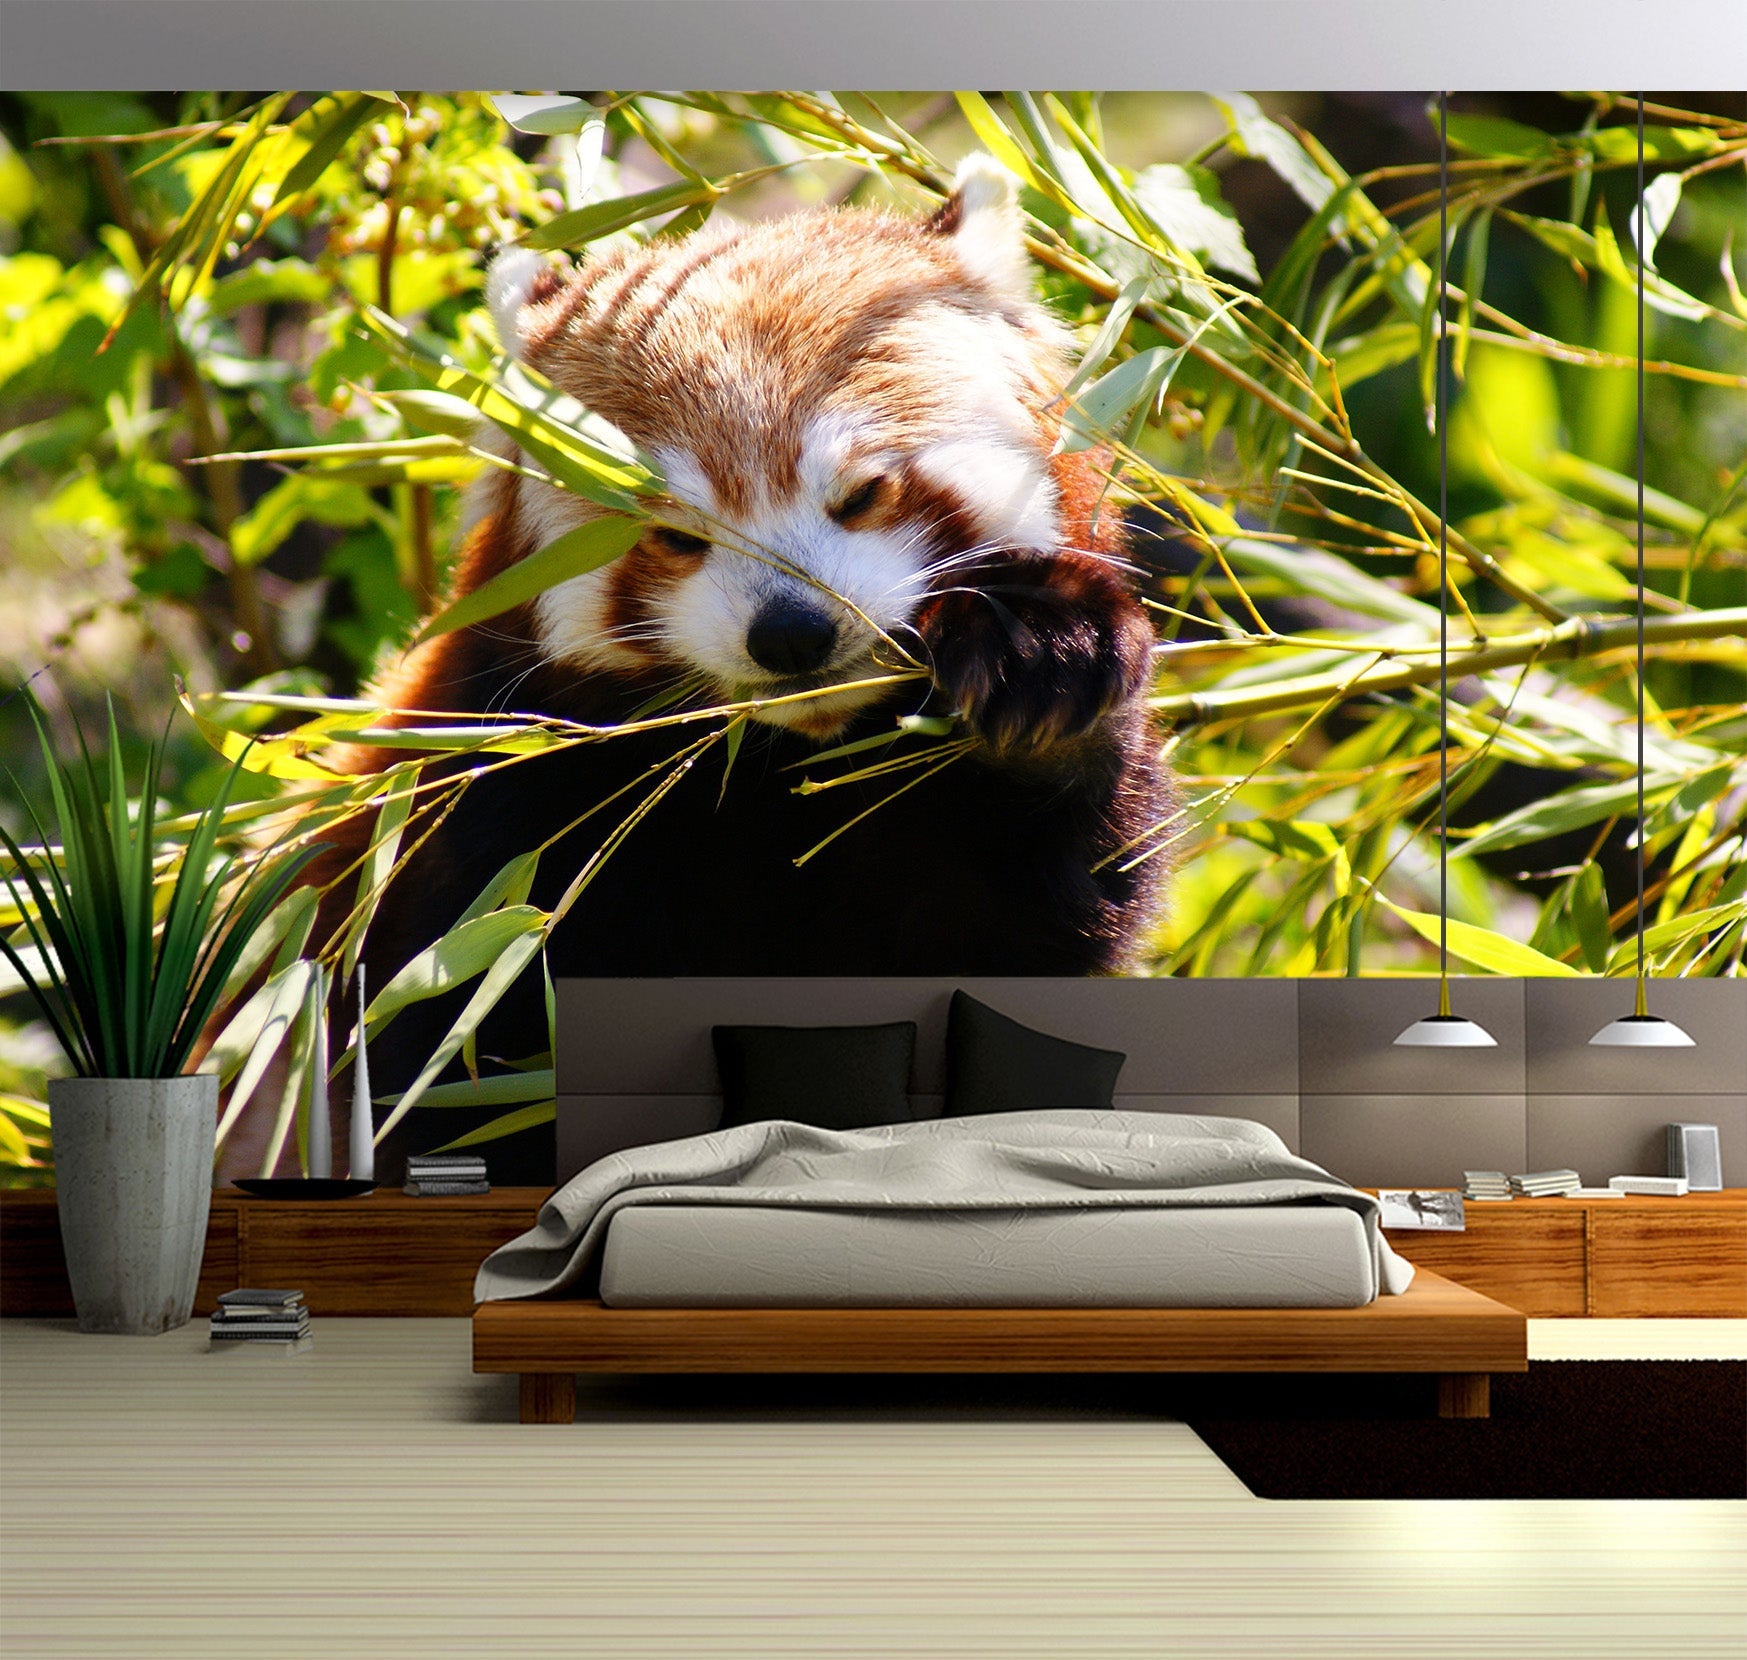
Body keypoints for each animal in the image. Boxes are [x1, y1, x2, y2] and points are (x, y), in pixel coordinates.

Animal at [297, 155, 1174, 1184]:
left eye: (862, 493)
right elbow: (454, 1062)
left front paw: (1042, 661)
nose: (791, 634)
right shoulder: (486, 821)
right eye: (678, 536)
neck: (781, 781)